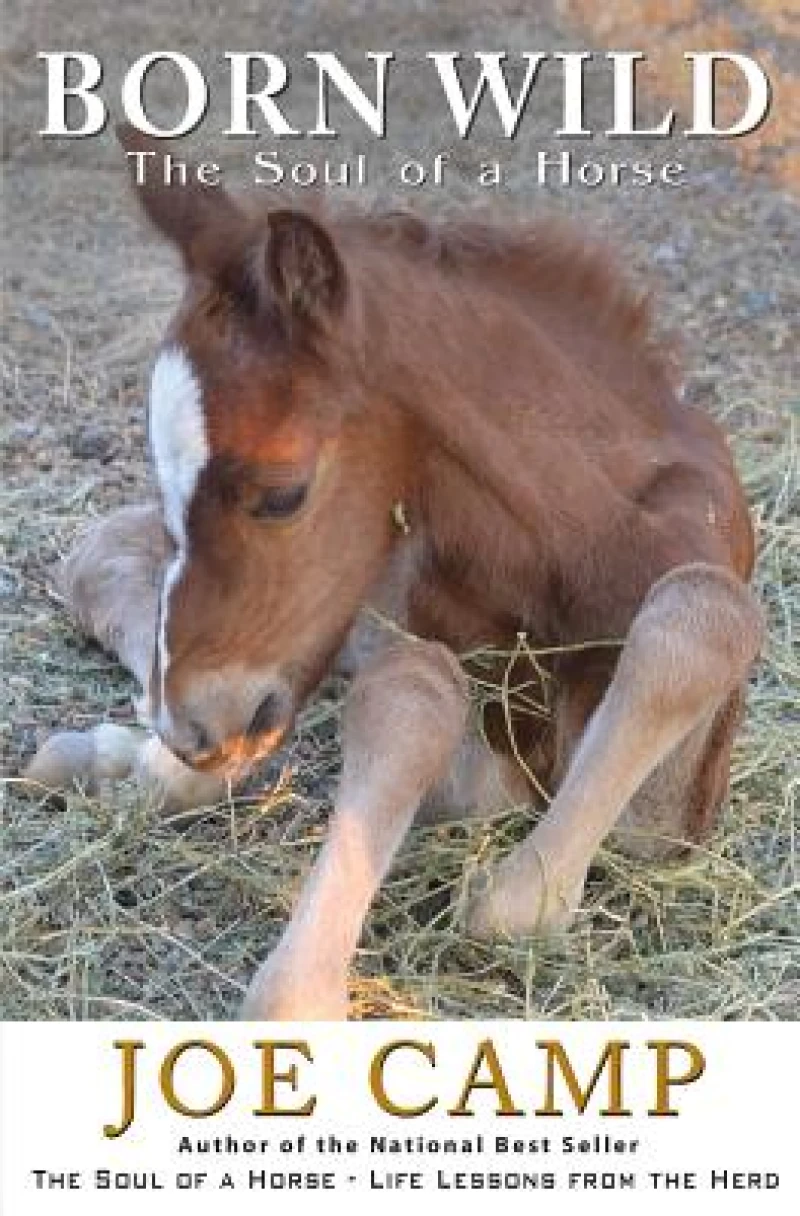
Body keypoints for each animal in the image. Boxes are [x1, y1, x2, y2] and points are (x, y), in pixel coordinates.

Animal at [29, 123, 762, 1019]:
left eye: (282, 493)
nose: (192, 728)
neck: (576, 538)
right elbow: (415, 695)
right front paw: (300, 987)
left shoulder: (667, 818)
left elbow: (701, 613)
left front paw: (524, 897)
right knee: (102, 556)